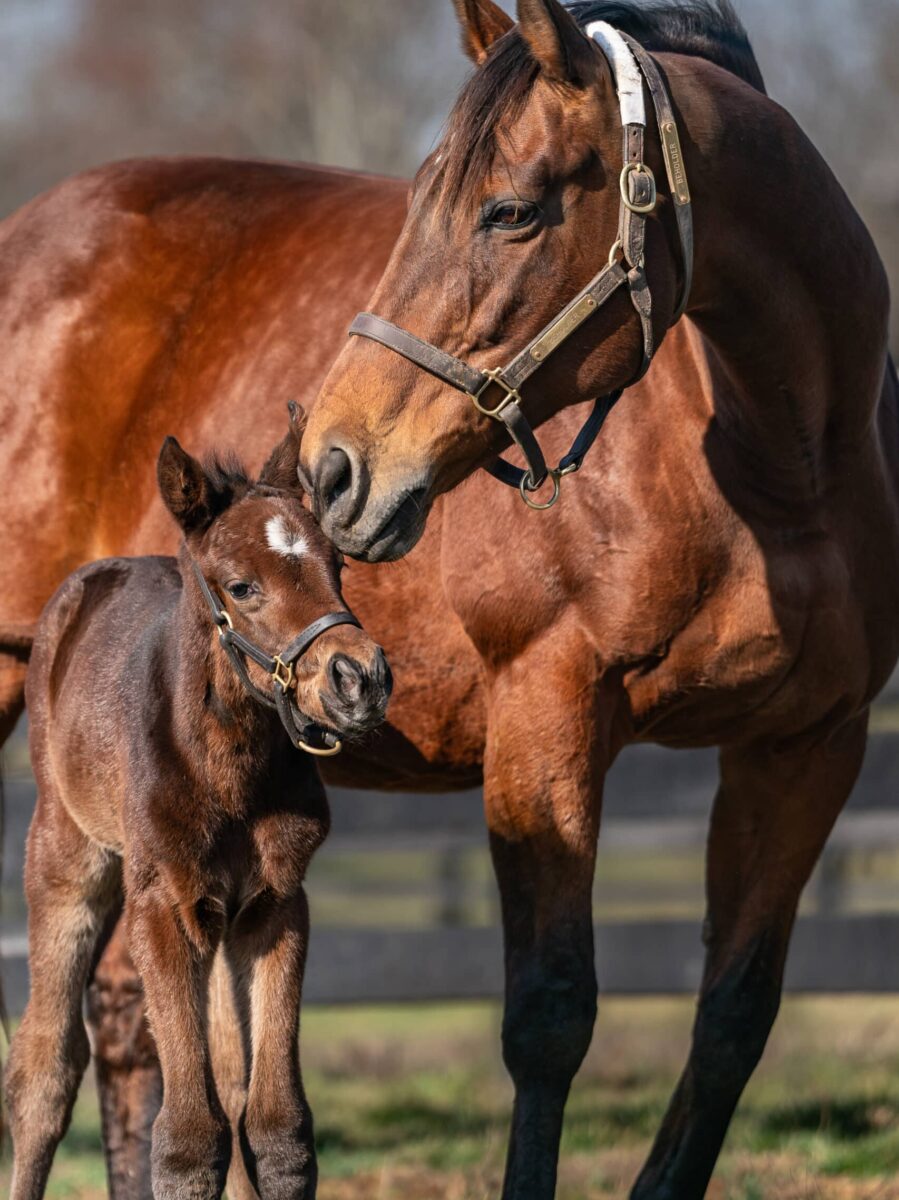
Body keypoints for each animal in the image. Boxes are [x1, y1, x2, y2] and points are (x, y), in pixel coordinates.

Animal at [4, 415, 388, 1200]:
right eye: (242, 586)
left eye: (337, 569)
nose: (360, 679)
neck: (229, 774)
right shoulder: (160, 902)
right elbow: (186, 1140)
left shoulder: (275, 901)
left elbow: (275, 1130)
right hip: (67, 854)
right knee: (43, 1069)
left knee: (232, 1074)